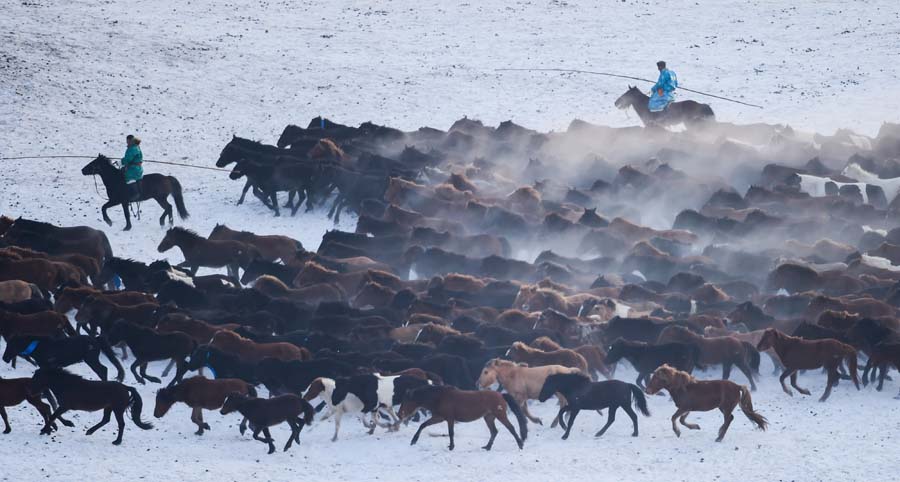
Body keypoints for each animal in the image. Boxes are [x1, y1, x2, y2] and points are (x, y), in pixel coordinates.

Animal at [397, 385, 526, 451]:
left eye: (405, 401)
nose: (399, 414)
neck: (439, 397)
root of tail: (501, 395)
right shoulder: (439, 417)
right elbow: (423, 425)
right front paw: (413, 441)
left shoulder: (449, 418)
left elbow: (451, 433)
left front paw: (451, 447)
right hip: (489, 417)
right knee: (494, 431)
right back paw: (487, 447)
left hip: (500, 415)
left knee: (511, 428)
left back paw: (520, 444)